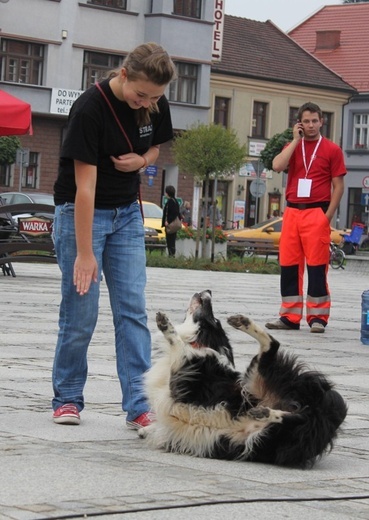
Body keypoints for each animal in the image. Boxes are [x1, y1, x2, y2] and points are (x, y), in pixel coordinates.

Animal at [139, 290, 348, 470]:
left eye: (214, 319)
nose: (208, 291)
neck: (200, 343)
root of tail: (318, 402)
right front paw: (146, 429)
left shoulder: (187, 374)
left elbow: (178, 345)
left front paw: (166, 325)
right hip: (265, 427)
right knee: (295, 414)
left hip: (260, 385)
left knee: (273, 346)